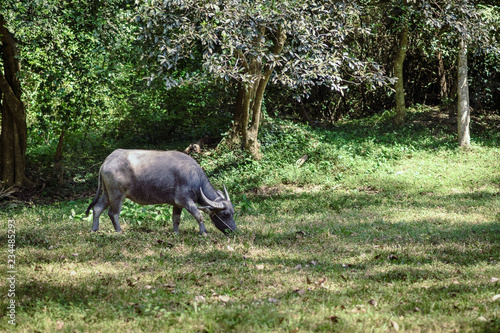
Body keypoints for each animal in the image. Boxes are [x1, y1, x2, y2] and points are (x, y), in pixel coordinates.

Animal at [85, 148, 236, 233]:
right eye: (226, 214)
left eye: (233, 212)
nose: (233, 230)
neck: (194, 178)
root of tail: (106, 162)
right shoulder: (185, 200)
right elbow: (199, 215)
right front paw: (203, 232)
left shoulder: (177, 204)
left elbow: (176, 219)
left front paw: (175, 233)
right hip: (117, 194)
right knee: (113, 213)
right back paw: (119, 230)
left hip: (107, 193)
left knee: (97, 208)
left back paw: (94, 230)